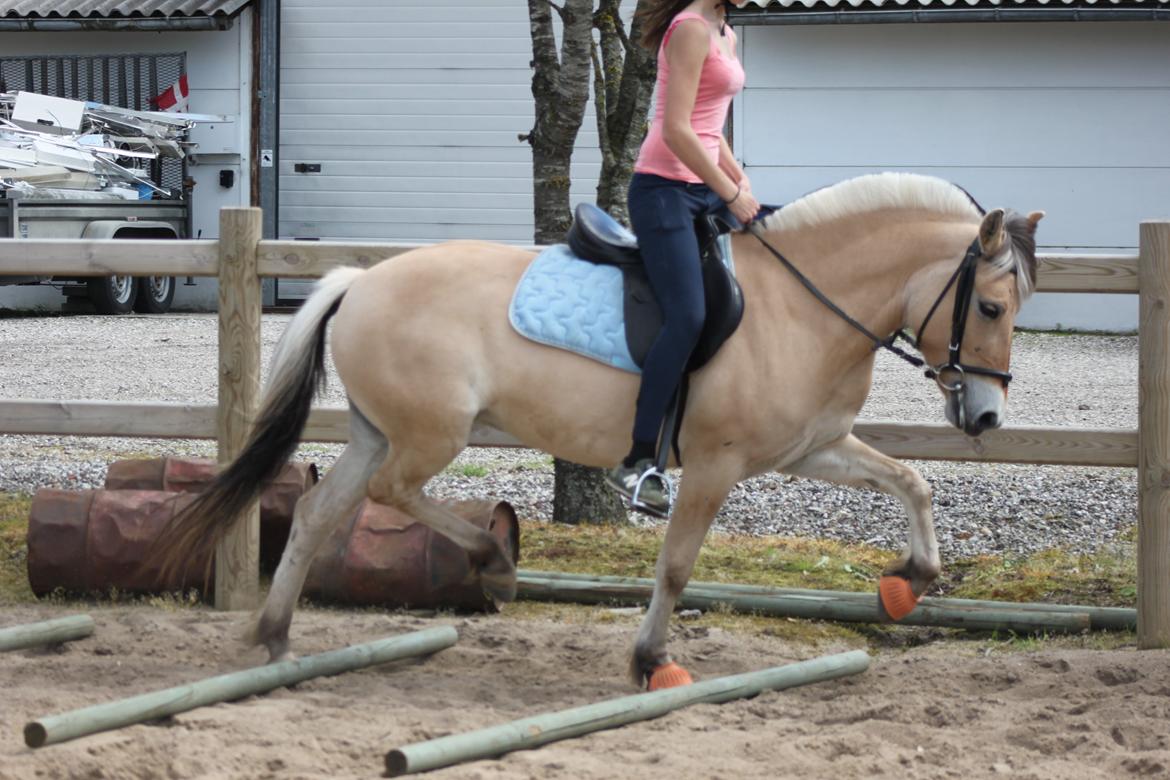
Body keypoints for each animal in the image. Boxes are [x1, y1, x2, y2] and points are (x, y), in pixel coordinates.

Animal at [155, 171, 1043, 687]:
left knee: (318, 513)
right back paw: (491, 560)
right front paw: (651, 661)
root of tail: (359, 280)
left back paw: (275, 638)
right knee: (392, 492)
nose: (986, 416)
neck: (802, 303)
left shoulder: (811, 448)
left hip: (380, 428)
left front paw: (910, 581)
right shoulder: (715, 465)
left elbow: (911, 481)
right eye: (991, 307)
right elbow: (677, 566)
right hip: (430, 435)